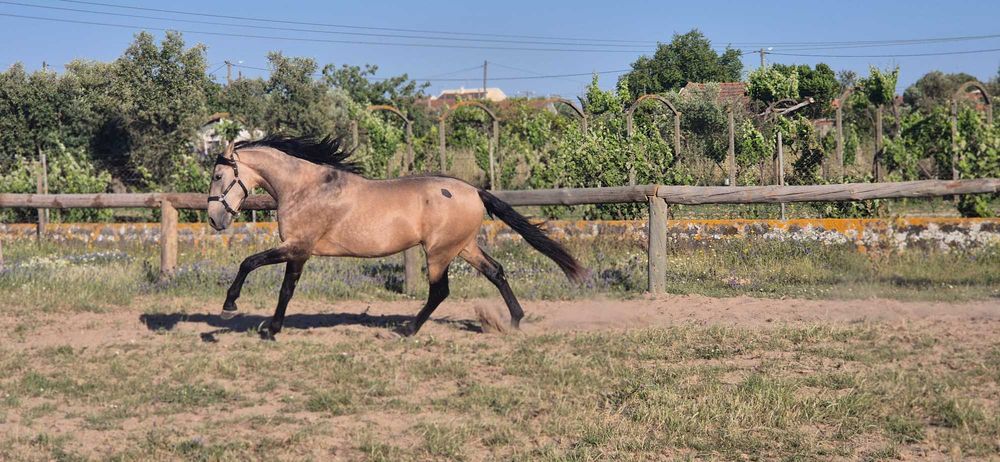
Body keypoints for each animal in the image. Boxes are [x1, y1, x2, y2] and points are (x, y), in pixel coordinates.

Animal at [206, 135, 587, 339]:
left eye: (218, 175)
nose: (214, 219)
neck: (306, 188)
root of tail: (475, 191)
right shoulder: (299, 252)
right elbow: (285, 288)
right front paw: (270, 327)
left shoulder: (297, 247)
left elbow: (252, 265)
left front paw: (231, 309)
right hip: (463, 247)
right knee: (496, 272)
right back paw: (515, 319)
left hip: (439, 252)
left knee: (440, 291)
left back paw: (408, 329)